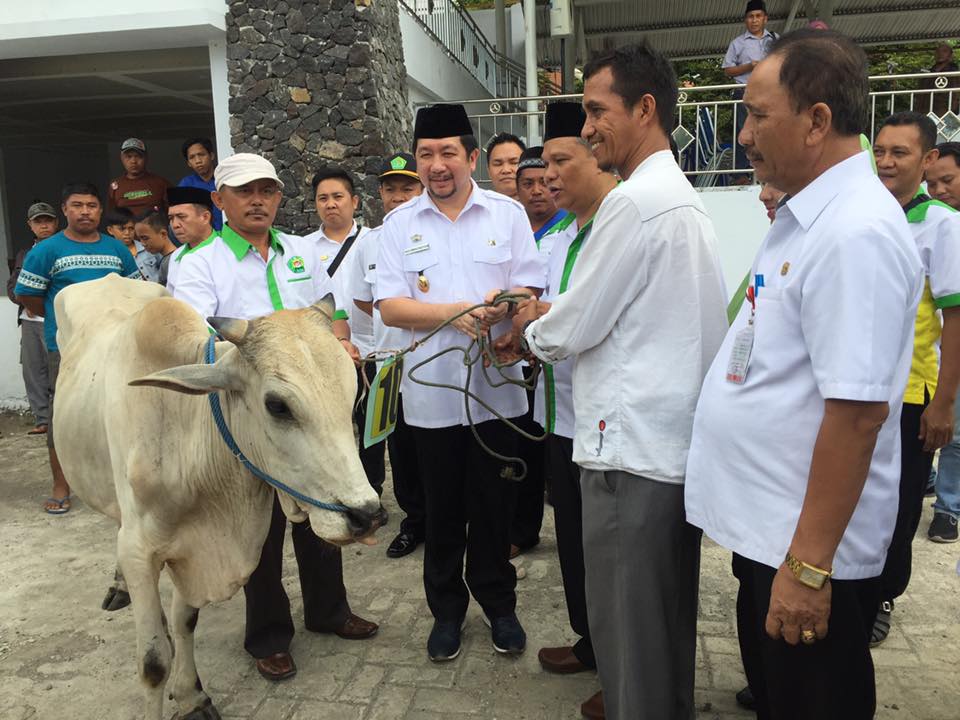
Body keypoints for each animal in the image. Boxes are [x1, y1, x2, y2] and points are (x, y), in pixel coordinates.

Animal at [54, 276, 384, 720]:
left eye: (351, 395)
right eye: (277, 405)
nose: (366, 515)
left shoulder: (192, 549)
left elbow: (185, 622)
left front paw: (191, 695)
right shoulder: (141, 550)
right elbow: (153, 663)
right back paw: (120, 586)